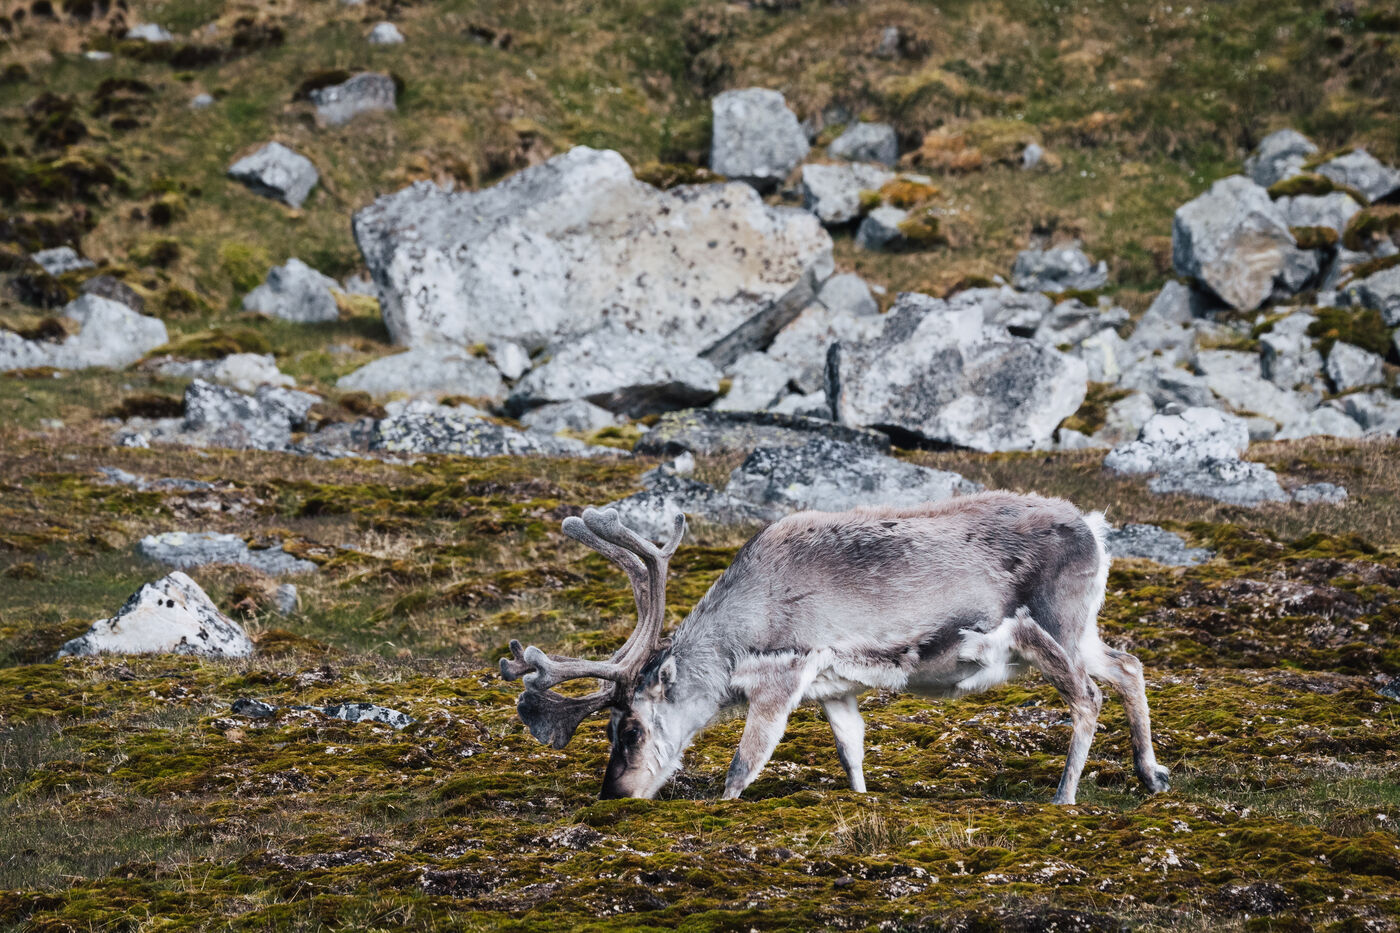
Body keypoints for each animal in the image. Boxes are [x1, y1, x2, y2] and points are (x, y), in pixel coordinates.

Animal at [500, 490, 1171, 804]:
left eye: (631, 728)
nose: (614, 794)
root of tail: (1096, 528)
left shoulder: (782, 676)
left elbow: (743, 765)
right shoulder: (835, 691)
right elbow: (853, 755)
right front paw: (862, 797)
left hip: (1050, 631)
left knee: (1088, 696)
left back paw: (1065, 795)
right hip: (1082, 631)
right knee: (1131, 666)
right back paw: (1151, 774)